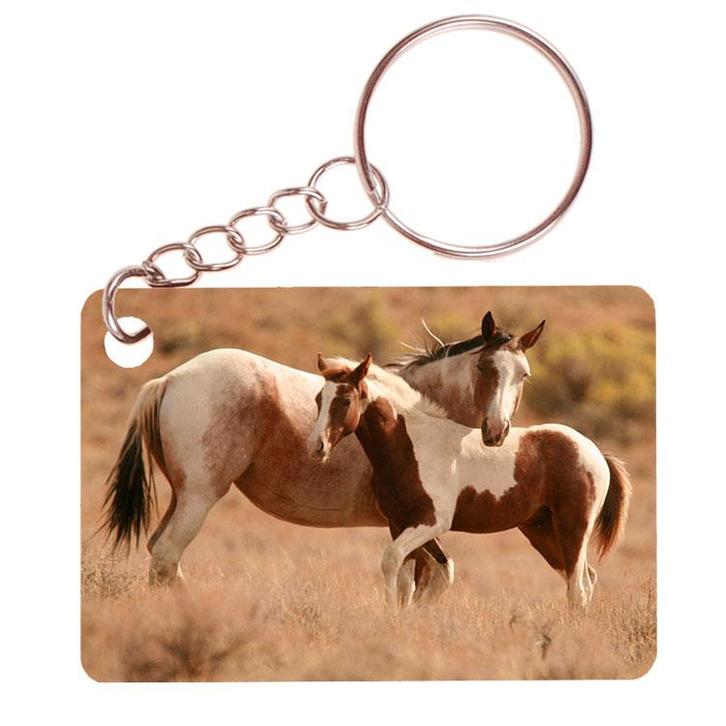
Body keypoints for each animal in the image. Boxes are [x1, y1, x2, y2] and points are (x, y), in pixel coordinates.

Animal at [102, 311, 546, 594]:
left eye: (523, 375)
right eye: (485, 368)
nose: (496, 431)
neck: (417, 414)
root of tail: (170, 379)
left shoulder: (408, 525)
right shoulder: (412, 523)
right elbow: (424, 579)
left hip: (181, 497)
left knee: (160, 555)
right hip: (199, 497)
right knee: (166, 557)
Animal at [309, 354, 632, 609]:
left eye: (346, 400)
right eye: (318, 399)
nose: (317, 446)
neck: (412, 445)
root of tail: (595, 451)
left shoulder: (433, 521)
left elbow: (391, 559)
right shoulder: (400, 522)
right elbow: (406, 577)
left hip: (573, 527)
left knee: (578, 587)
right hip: (542, 531)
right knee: (585, 579)